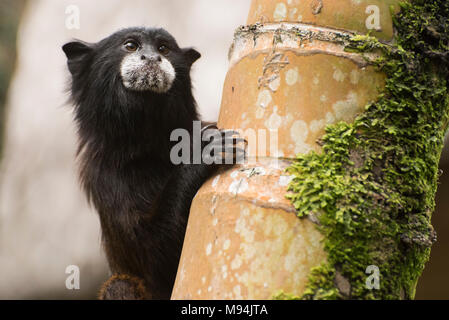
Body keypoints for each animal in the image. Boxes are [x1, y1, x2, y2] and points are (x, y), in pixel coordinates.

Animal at [61, 27, 243, 300]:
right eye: (131, 45)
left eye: (163, 48)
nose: (152, 58)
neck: (150, 145)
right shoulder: (105, 177)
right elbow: (155, 259)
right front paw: (199, 155)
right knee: (119, 286)